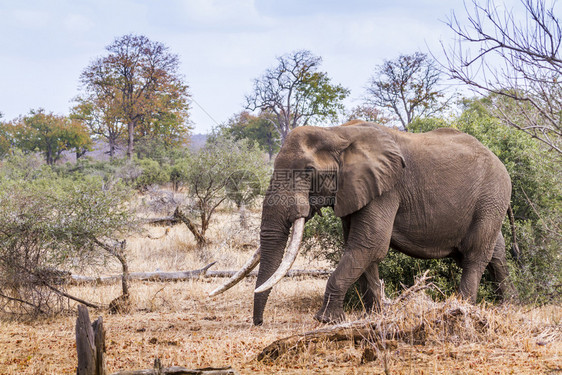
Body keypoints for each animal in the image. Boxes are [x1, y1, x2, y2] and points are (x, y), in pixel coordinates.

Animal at [209, 121, 512, 326]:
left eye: (309, 172)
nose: (259, 323)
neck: (337, 132)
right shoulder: (353, 191)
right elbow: (361, 248)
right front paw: (375, 315)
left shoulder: (387, 188)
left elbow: (369, 244)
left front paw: (326, 321)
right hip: (491, 203)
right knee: (497, 252)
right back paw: (509, 305)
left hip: (491, 196)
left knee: (474, 255)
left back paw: (463, 309)